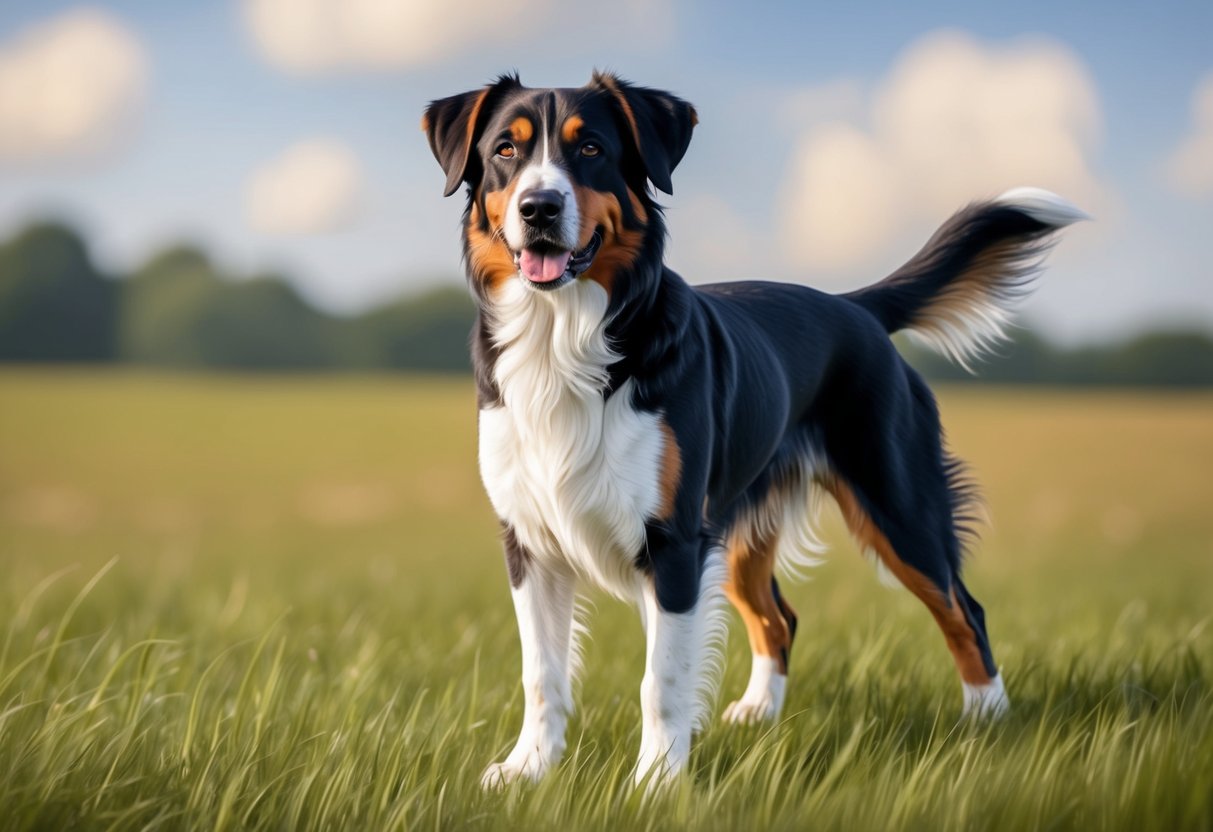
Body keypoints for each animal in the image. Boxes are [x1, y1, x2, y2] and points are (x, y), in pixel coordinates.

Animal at [424, 71, 1081, 790]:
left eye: (591, 147)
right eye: (504, 151)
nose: (539, 207)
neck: (560, 339)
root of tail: (854, 307)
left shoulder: (674, 540)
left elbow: (661, 679)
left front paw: (655, 784)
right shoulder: (530, 540)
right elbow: (541, 672)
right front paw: (528, 769)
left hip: (897, 505)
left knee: (963, 608)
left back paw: (988, 720)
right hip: (740, 528)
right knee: (779, 617)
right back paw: (758, 711)